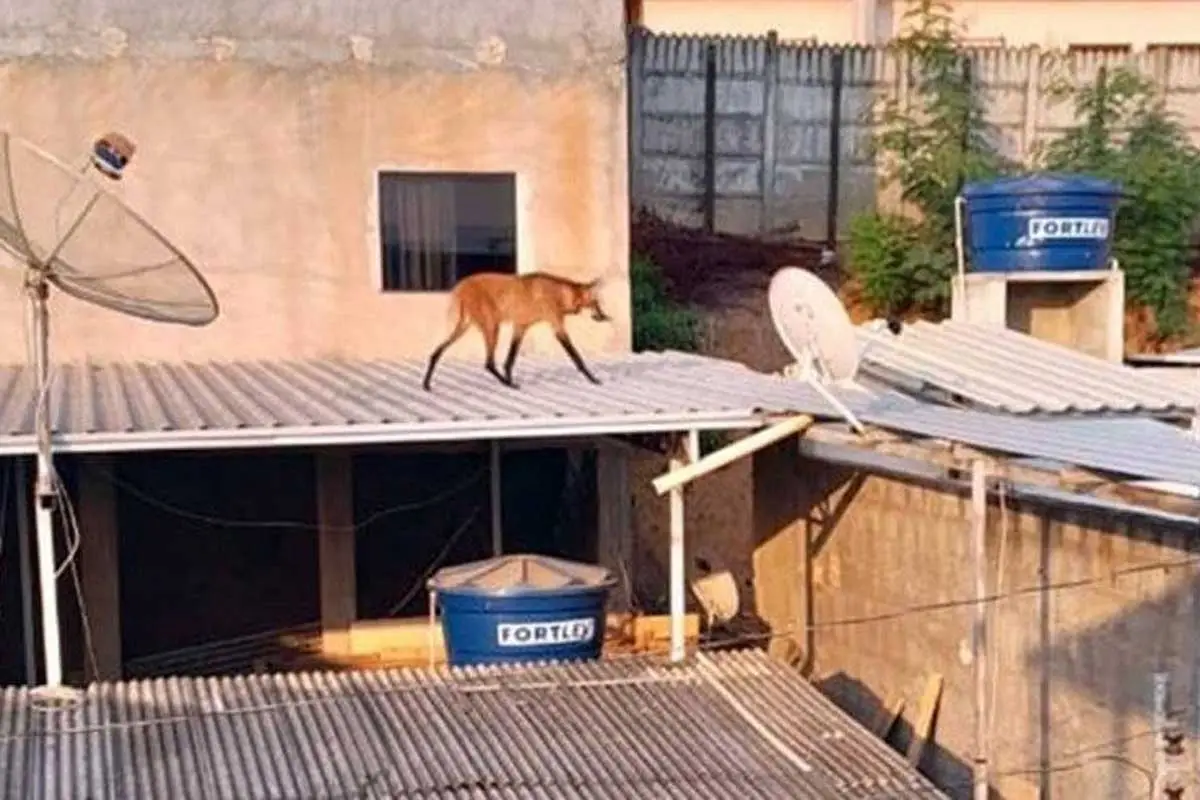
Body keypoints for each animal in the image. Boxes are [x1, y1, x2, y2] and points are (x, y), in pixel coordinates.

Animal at [422, 272, 609, 391]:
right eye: (597, 304)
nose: (604, 316)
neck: (560, 294)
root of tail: (460, 286)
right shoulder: (556, 325)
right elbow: (576, 356)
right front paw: (593, 379)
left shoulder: (520, 326)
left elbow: (510, 359)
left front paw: (509, 376)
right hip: (492, 326)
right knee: (488, 362)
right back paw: (507, 384)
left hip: (463, 326)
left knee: (436, 351)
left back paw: (426, 384)